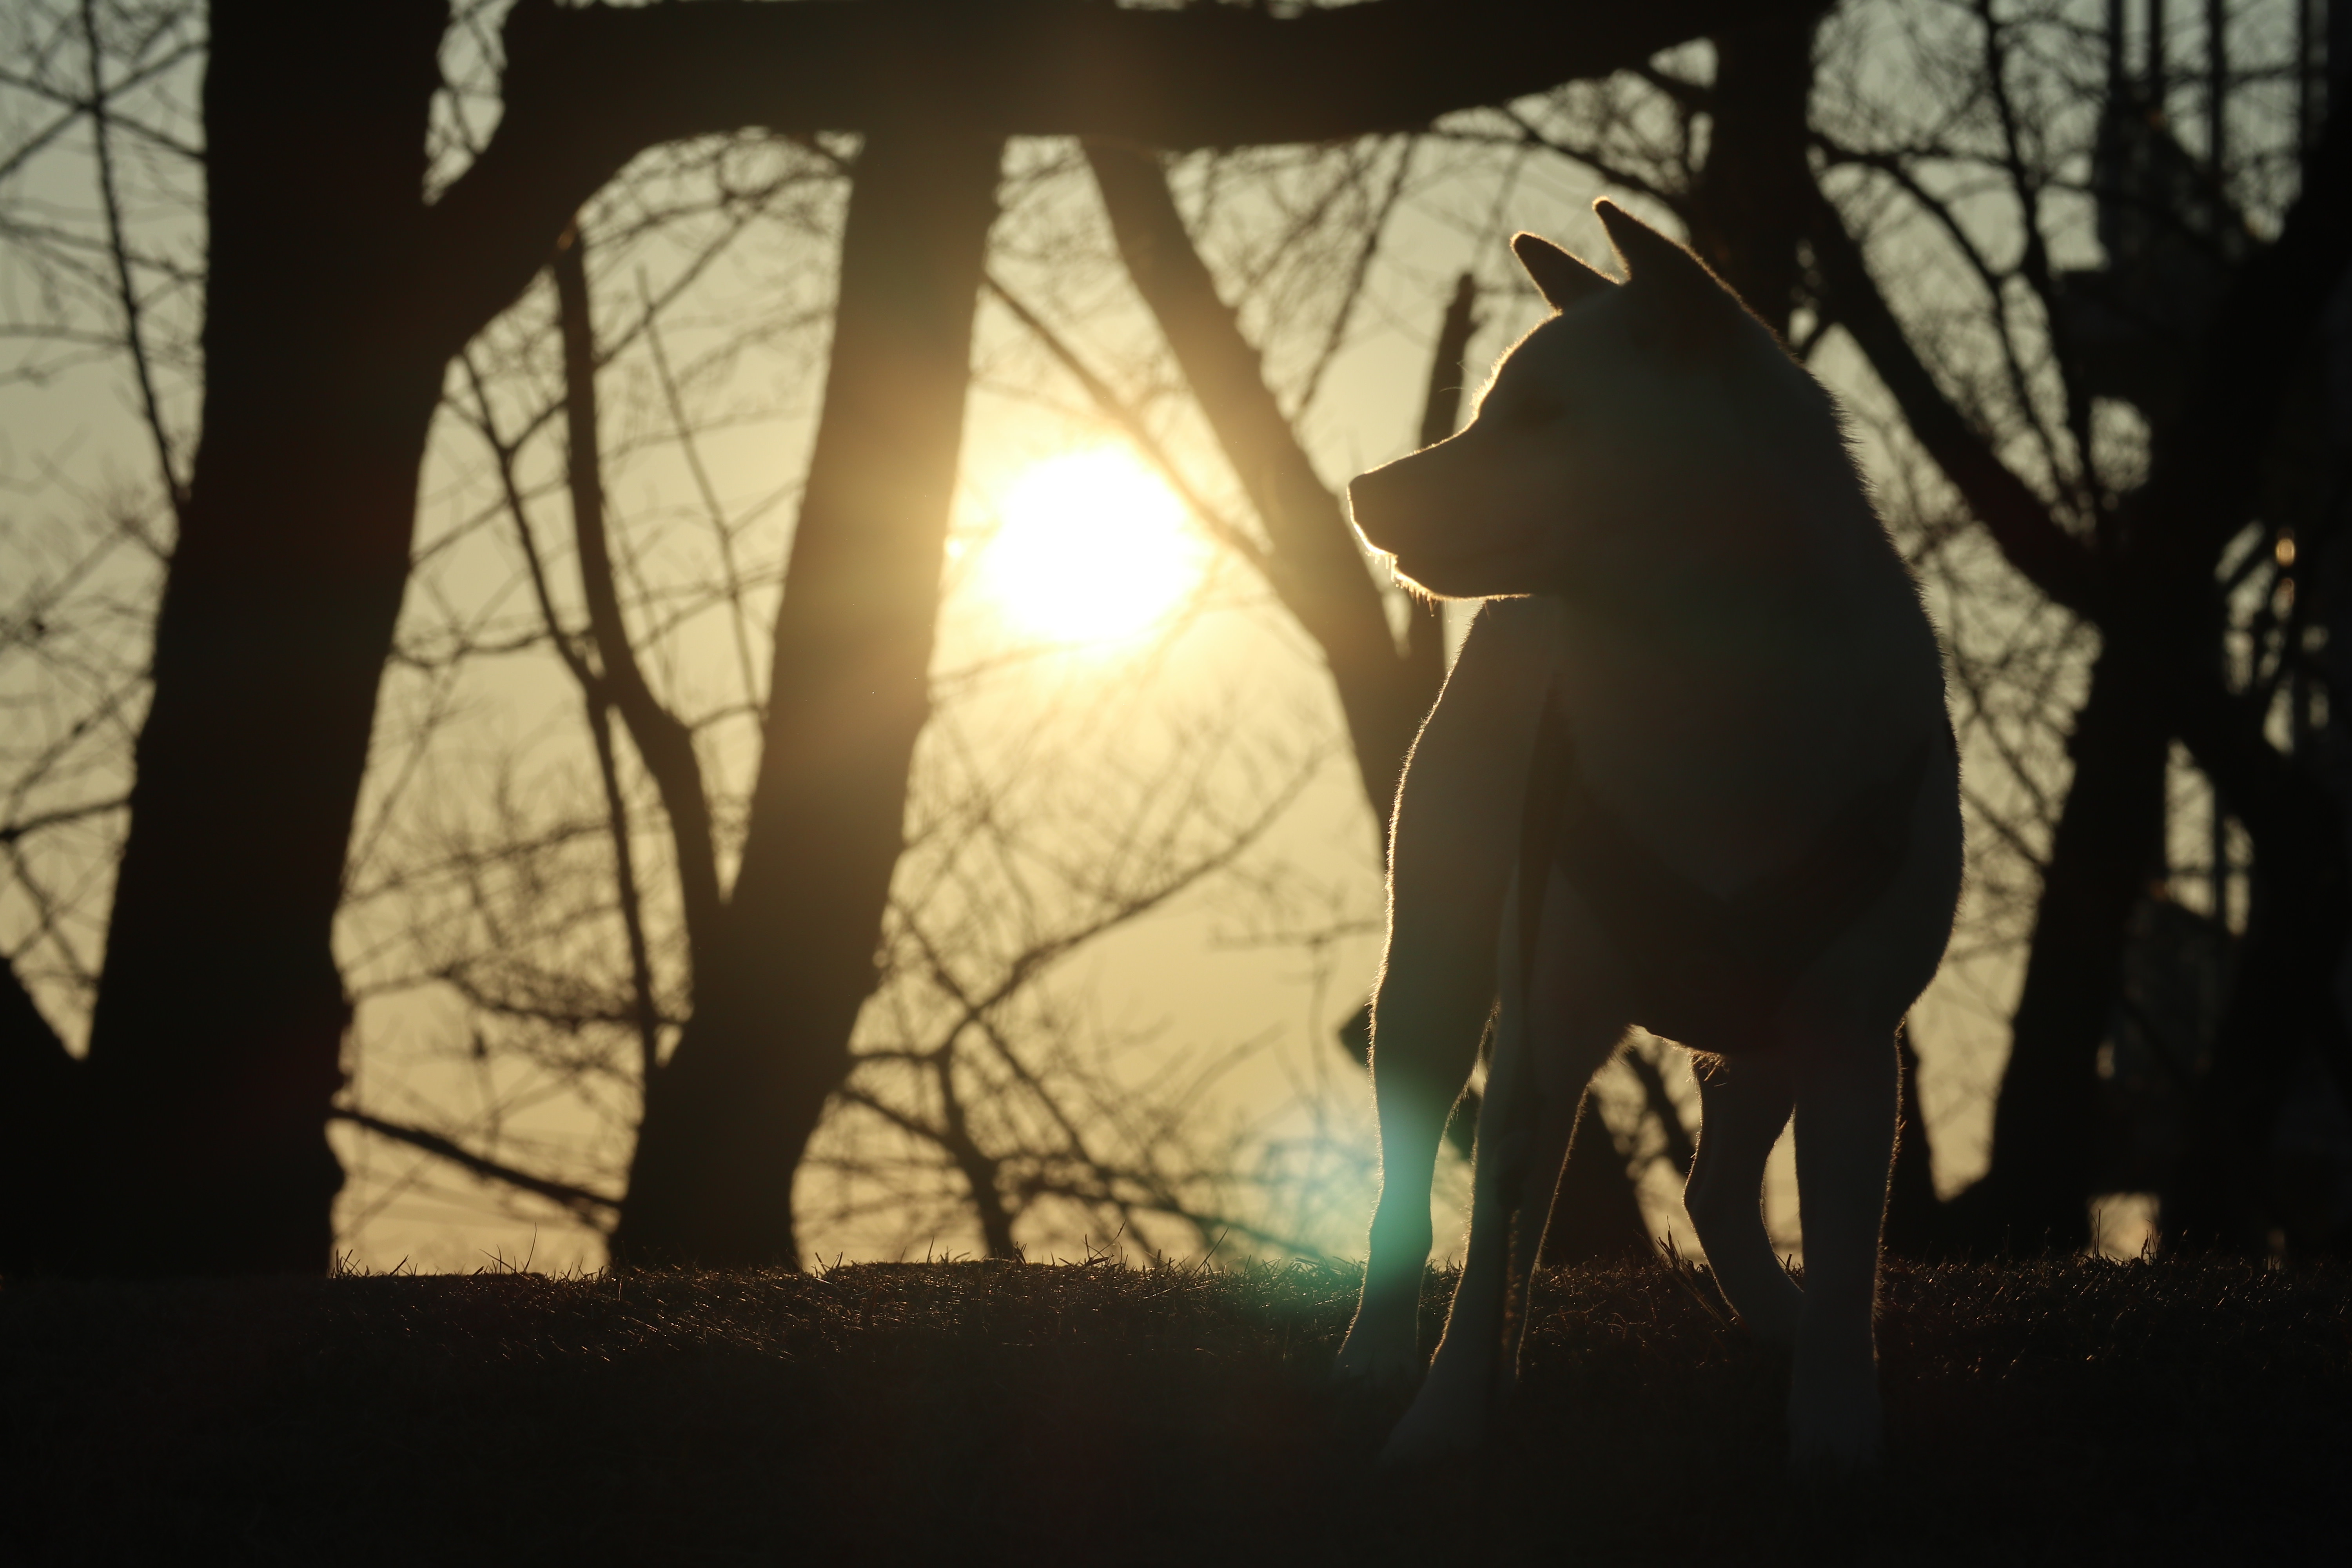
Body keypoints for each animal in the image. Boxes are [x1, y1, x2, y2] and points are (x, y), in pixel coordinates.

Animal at [1336, 200, 1957, 1476]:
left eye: (1537, 415)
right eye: (1487, 408)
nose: (1364, 490)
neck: (1703, 687)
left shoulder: (1849, 1036)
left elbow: (1845, 1262)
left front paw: (1834, 1419)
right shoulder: (1544, 1022)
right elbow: (1489, 1253)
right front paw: (1443, 1416)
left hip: (1760, 1023)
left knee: (1716, 1186)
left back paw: (1771, 1318)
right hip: (1437, 975)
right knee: (1416, 1184)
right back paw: (1379, 1349)